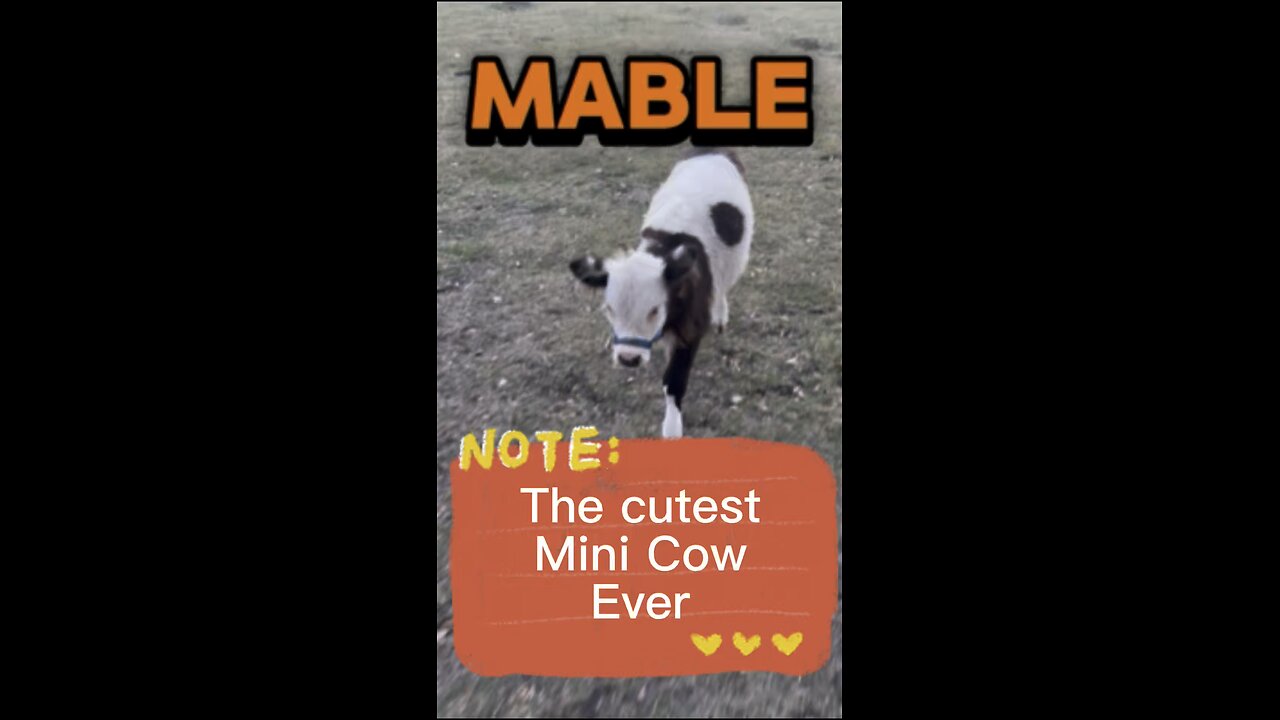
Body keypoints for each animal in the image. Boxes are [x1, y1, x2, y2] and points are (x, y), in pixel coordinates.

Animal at [570, 147, 753, 438]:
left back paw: (720, 315)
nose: (629, 359)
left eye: (654, 309)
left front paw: (672, 428)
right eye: (609, 309)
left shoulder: (691, 328)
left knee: (724, 285)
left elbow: (674, 380)